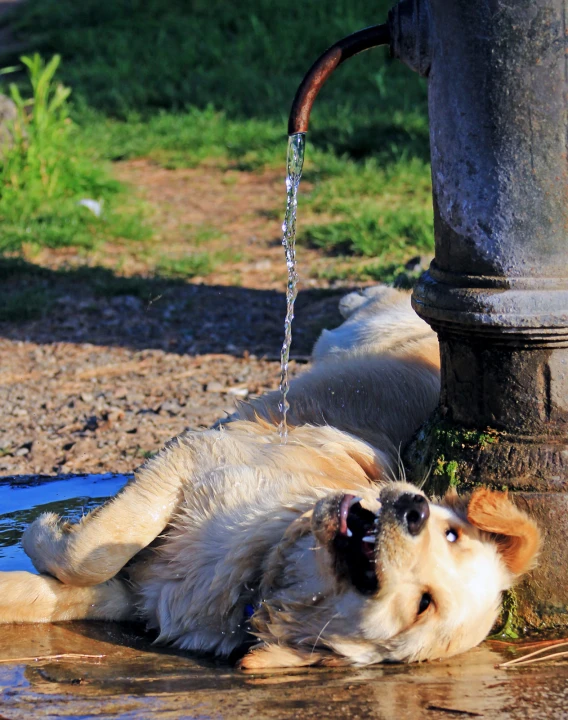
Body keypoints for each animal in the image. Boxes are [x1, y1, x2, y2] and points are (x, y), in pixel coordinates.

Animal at [0, 286, 540, 668]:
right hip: (362, 337)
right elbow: (95, 550)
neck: (261, 567)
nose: (414, 509)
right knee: (368, 309)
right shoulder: (195, 454)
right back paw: (358, 293)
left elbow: (66, 580)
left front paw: (37, 549)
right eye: (451, 532)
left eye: (423, 605)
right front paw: (44, 531)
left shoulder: (141, 596)